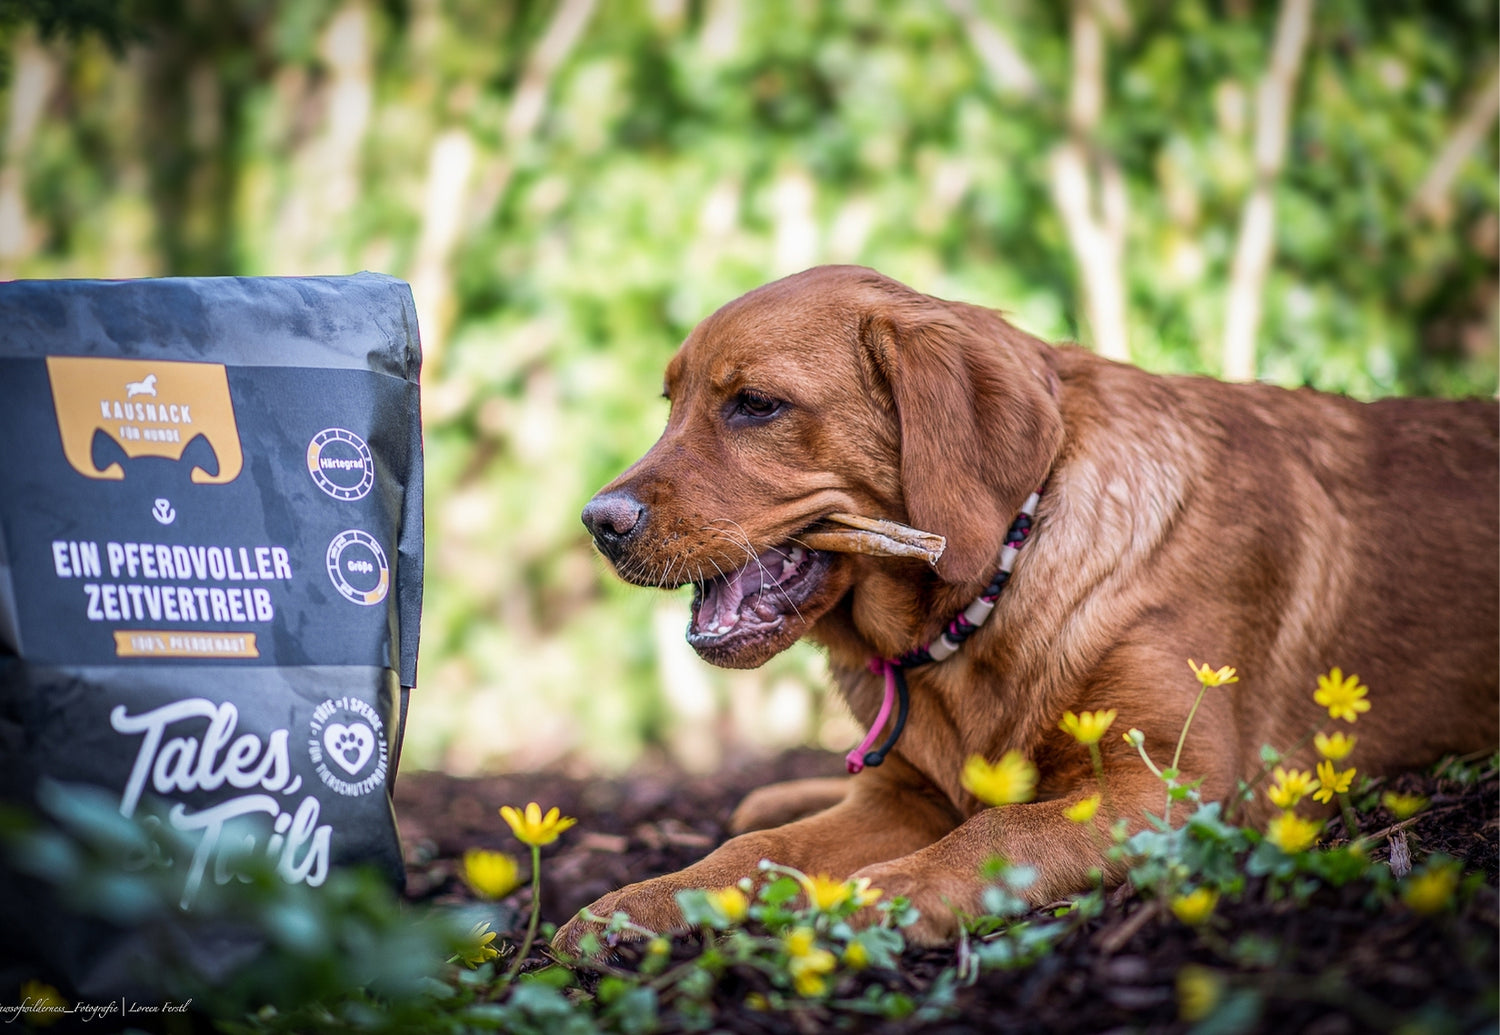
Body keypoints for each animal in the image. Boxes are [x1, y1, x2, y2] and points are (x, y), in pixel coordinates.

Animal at [557, 265, 1498, 949]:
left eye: (755, 404)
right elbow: (757, 851)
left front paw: (888, 891)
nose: (598, 521)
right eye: (671, 405)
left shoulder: (1166, 789)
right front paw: (643, 901)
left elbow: (998, 832)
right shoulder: (900, 798)